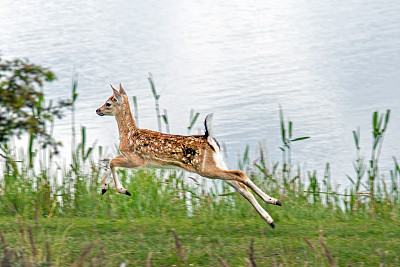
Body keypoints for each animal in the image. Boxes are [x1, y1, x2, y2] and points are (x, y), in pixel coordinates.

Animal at [96, 84, 282, 228]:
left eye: (108, 103)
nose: (97, 110)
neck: (128, 134)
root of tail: (209, 138)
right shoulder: (131, 158)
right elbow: (110, 162)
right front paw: (104, 188)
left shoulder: (138, 160)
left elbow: (112, 162)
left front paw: (122, 189)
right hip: (216, 164)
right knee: (241, 187)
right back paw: (272, 212)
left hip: (205, 168)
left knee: (240, 174)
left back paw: (272, 209)